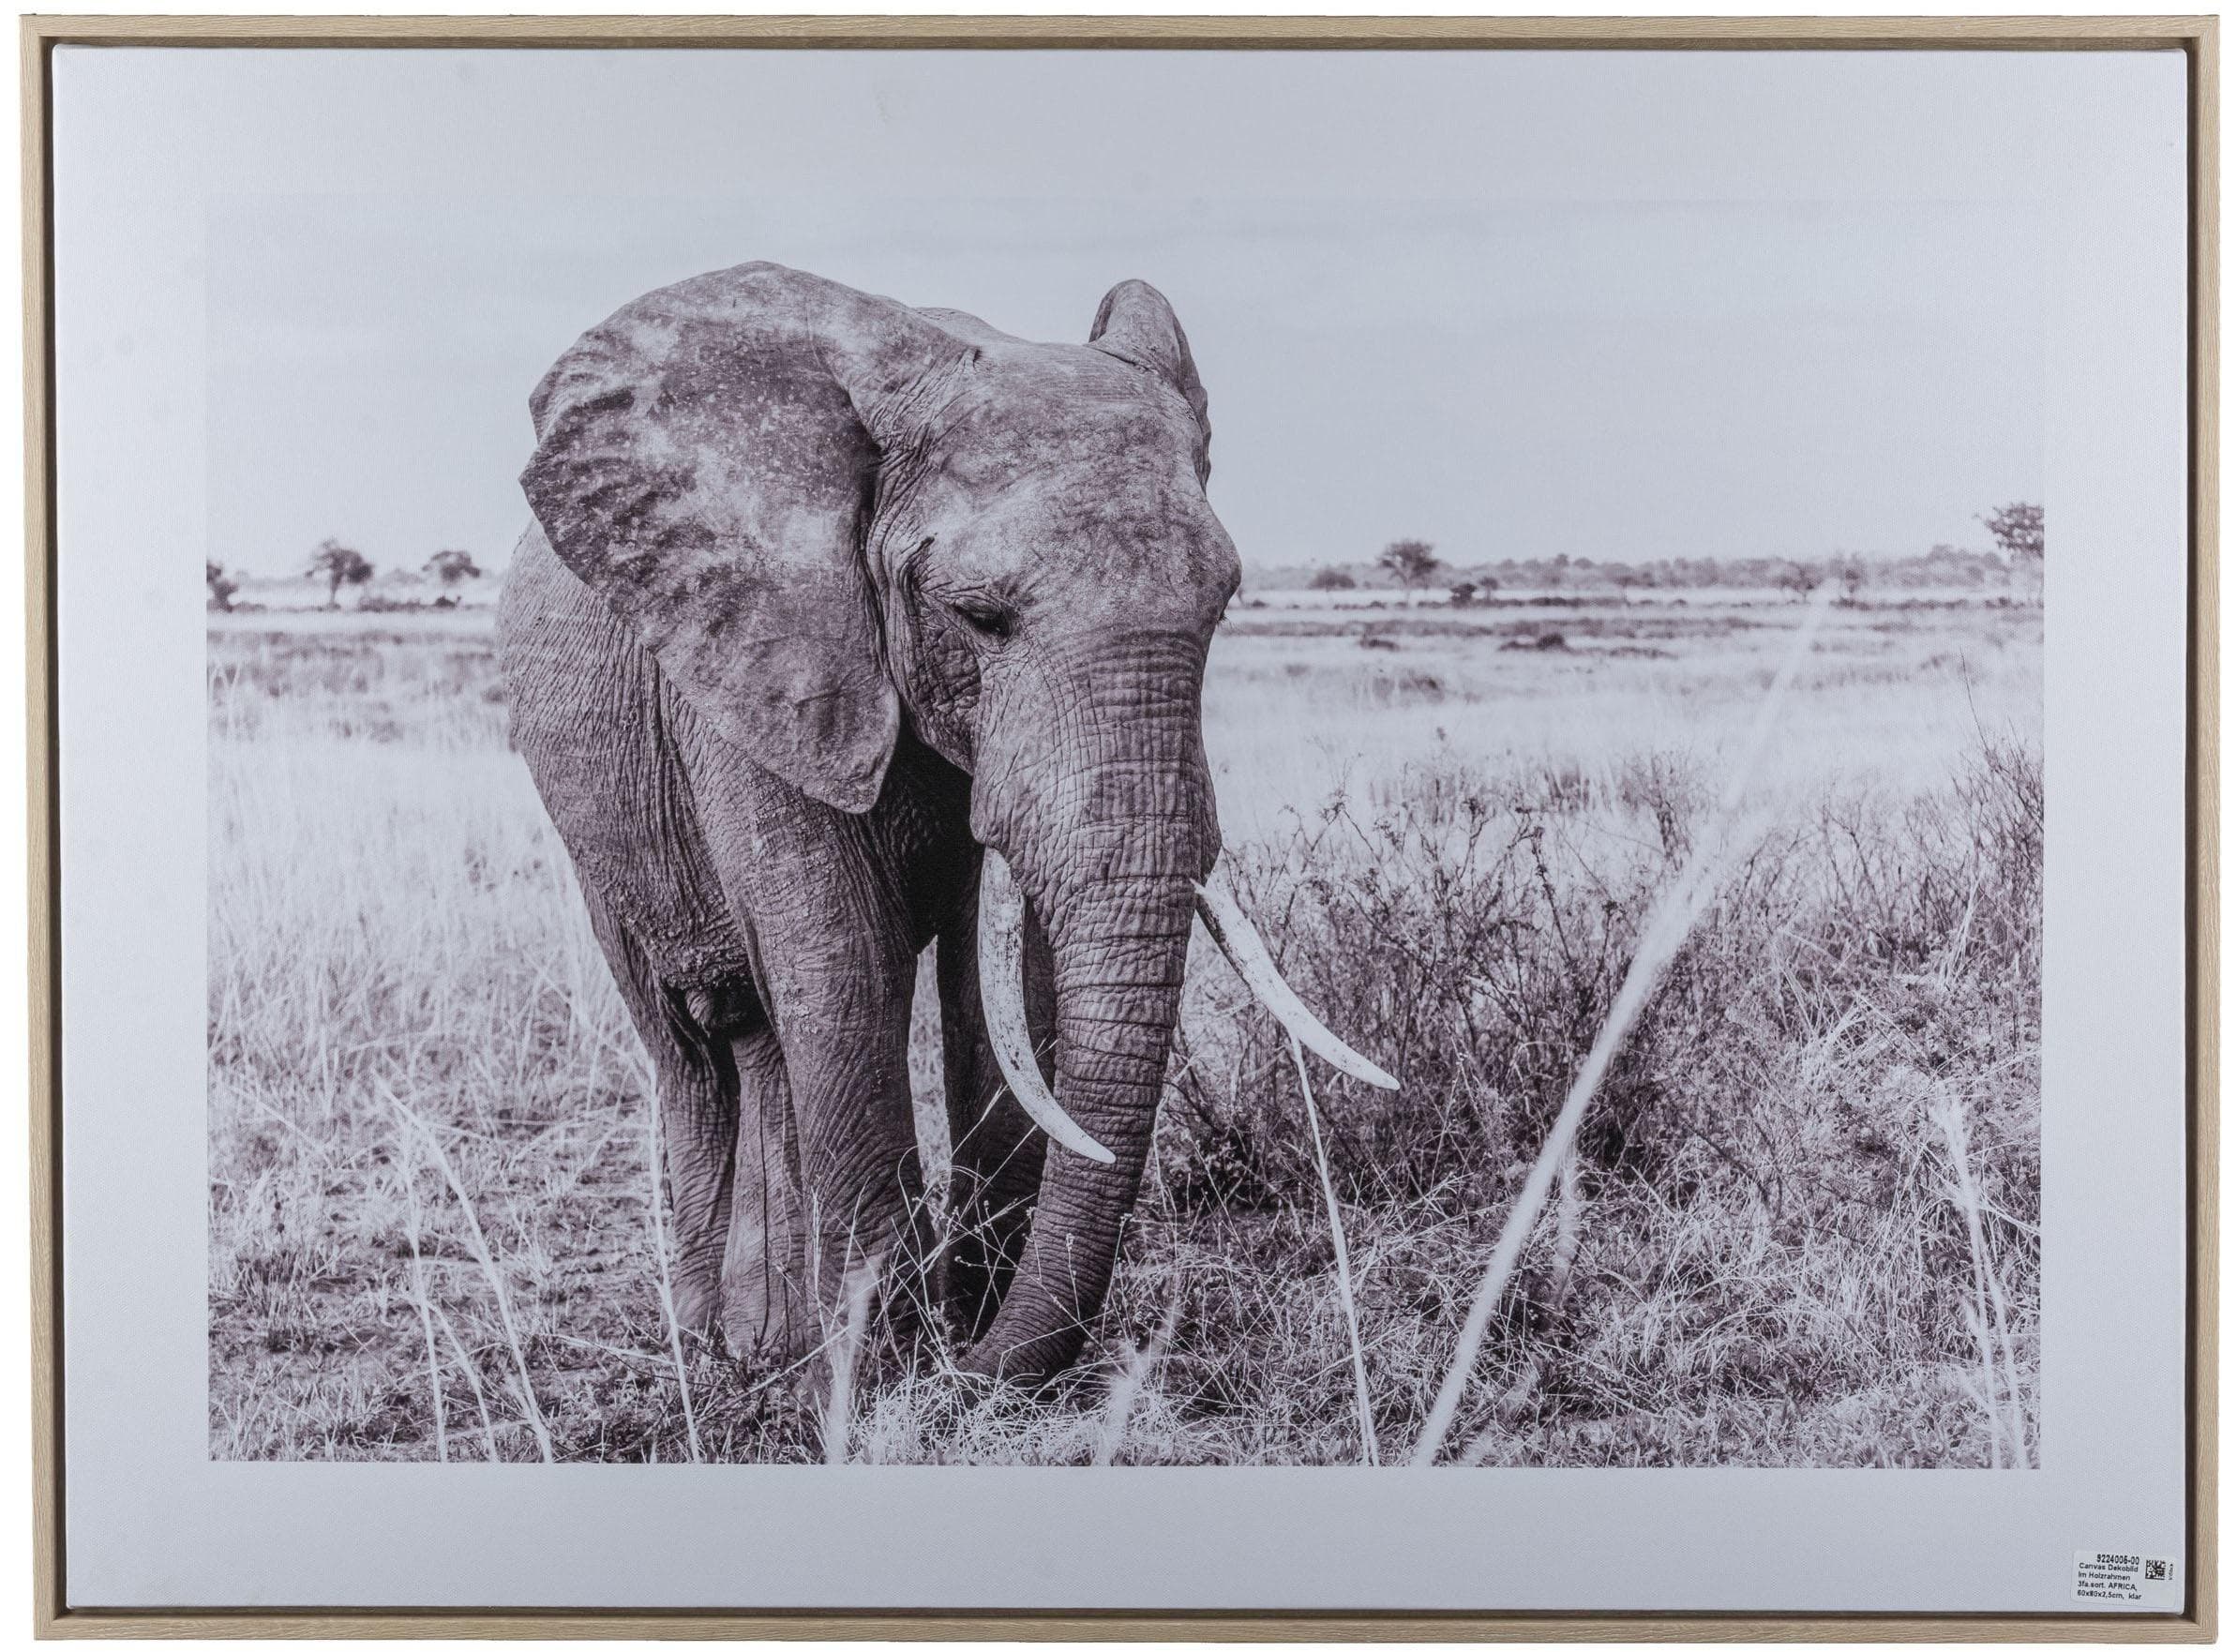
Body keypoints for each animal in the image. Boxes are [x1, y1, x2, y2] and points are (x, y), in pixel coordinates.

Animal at [499, 261, 1395, 1390]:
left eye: (1224, 608)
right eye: (976, 617)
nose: (979, 1362)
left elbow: (1001, 977)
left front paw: (954, 1337)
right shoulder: (760, 666)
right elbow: (840, 961)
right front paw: (885, 1369)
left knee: (760, 1040)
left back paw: (772, 1346)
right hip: (599, 815)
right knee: (694, 1040)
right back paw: (717, 1355)